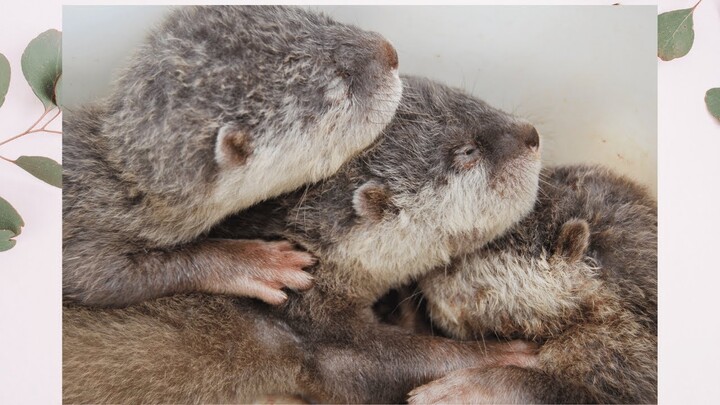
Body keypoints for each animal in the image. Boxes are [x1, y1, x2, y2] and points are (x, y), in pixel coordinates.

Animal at [62, 5, 402, 306]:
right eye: (341, 86)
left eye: (319, 20)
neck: (125, 187)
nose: (391, 52)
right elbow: (98, 279)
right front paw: (256, 262)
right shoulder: (87, 237)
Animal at [64, 75, 544, 400]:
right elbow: (393, 364)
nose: (533, 135)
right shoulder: (316, 332)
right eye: (467, 152)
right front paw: (504, 358)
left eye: (471, 101)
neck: (312, 264)